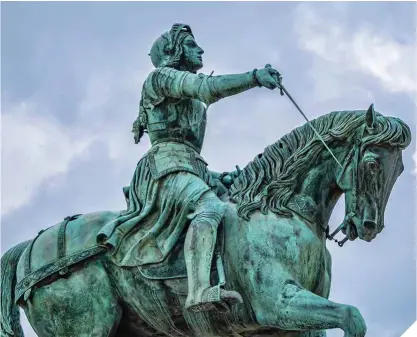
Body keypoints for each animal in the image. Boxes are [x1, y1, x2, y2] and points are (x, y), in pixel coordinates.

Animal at [0, 105, 410, 336]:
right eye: (373, 163)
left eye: (401, 168)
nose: (369, 227)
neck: (279, 210)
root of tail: (32, 246)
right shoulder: (279, 305)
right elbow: (353, 317)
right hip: (85, 327)